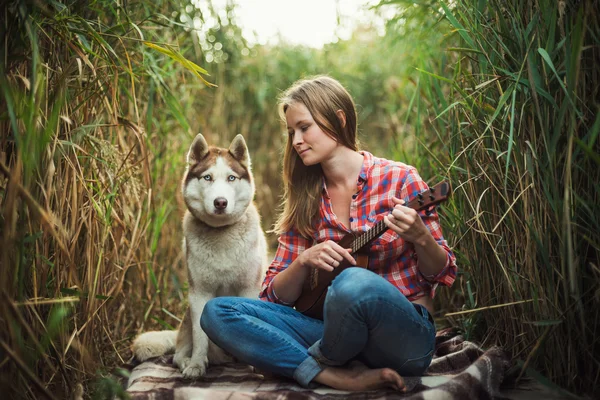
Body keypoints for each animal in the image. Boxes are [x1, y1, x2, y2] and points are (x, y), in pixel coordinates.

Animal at [135, 134, 268, 378]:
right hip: (187, 316)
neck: (222, 235)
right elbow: (200, 337)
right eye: (207, 177)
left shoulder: (249, 288)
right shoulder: (199, 294)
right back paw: (190, 361)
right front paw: (196, 365)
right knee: (178, 354)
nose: (220, 202)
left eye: (231, 178)